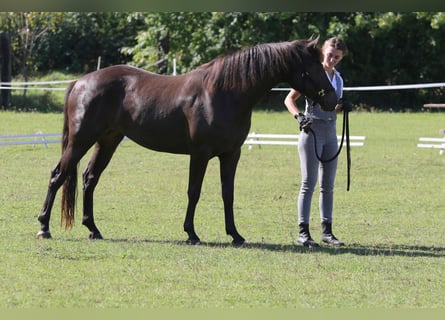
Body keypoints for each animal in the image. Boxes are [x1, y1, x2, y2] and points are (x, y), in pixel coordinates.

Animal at [36, 37, 336, 245]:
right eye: (312, 69)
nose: (333, 99)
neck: (225, 92)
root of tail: (81, 82)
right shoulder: (200, 154)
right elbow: (194, 191)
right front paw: (191, 233)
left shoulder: (231, 154)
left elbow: (228, 193)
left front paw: (235, 234)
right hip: (80, 141)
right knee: (57, 175)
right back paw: (43, 227)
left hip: (107, 141)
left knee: (90, 178)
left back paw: (93, 230)